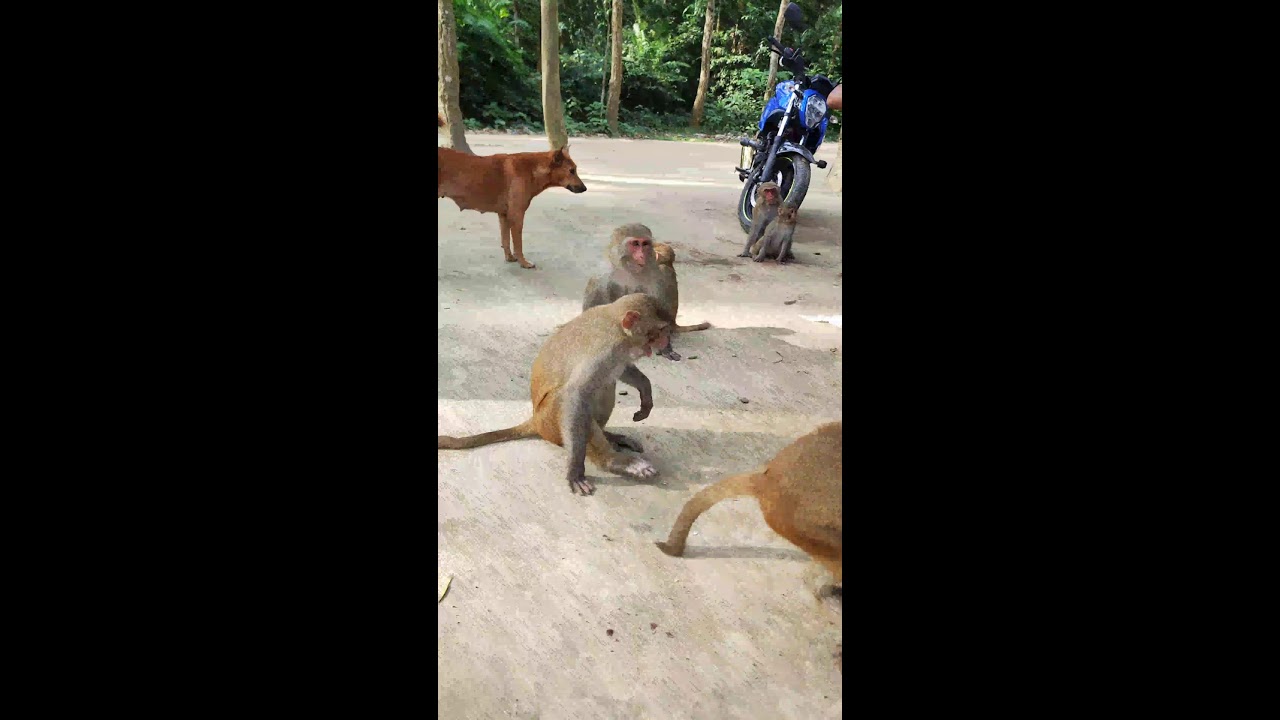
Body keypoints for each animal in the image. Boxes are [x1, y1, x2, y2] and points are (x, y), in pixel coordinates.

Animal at [438, 293, 671, 496]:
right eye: (657, 331)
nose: (664, 343)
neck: (618, 326)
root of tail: (535, 419)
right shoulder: (606, 351)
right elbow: (575, 395)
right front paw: (575, 470)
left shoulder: (620, 353)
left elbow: (621, 370)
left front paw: (646, 392)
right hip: (549, 421)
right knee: (569, 398)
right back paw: (613, 460)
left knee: (606, 384)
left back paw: (610, 436)